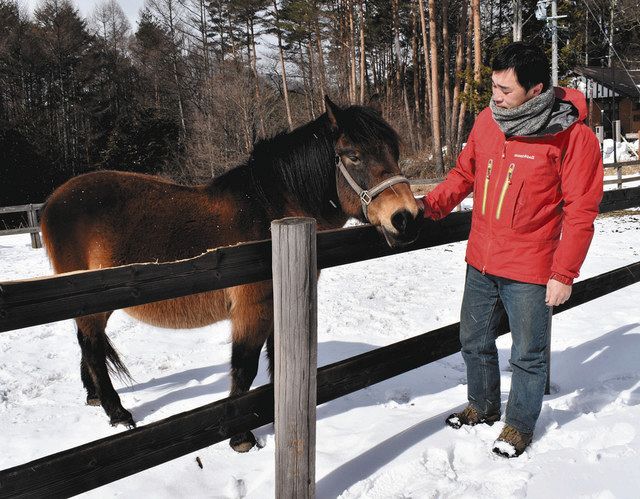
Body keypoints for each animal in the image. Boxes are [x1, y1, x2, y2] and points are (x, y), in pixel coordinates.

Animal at [40, 95, 424, 452]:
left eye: (394, 150)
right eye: (352, 155)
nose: (405, 217)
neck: (271, 212)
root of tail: (54, 200)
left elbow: (275, 362)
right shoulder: (252, 312)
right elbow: (244, 368)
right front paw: (241, 436)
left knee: (87, 342)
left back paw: (93, 396)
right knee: (91, 344)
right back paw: (117, 412)